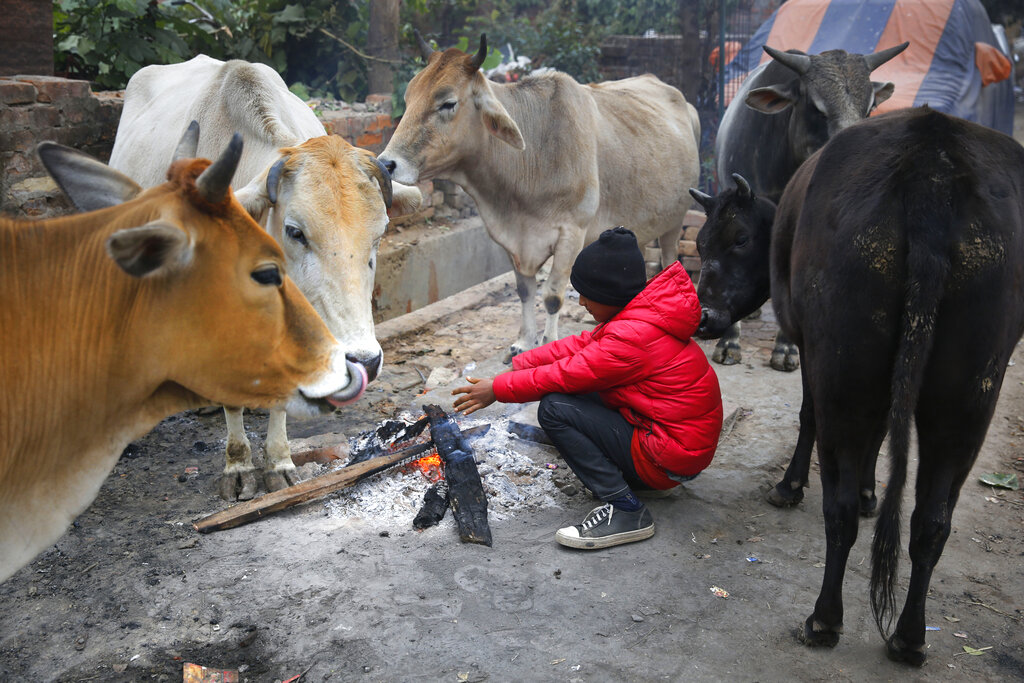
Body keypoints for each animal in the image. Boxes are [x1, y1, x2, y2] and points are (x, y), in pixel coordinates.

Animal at [379, 34, 701, 360]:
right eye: (408, 98)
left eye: (448, 103)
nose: (387, 163)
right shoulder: (509, 239)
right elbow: (525, 291)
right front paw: (523, 341)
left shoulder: (572, 233)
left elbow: (552, 296)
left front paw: (548, 343)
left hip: (675, 220)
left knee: (671, 258)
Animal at [697, 106, 1024, 663]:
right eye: (699, 244)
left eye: (738, 239)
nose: (704, 317)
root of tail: (932, 163)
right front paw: (873, 490)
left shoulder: (810, 348)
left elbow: (809, 417)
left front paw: (792, 486)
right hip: (968, 392)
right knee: (931, 520)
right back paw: (909, 637)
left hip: (844, 370)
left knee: (842, 508)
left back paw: (824, 619)